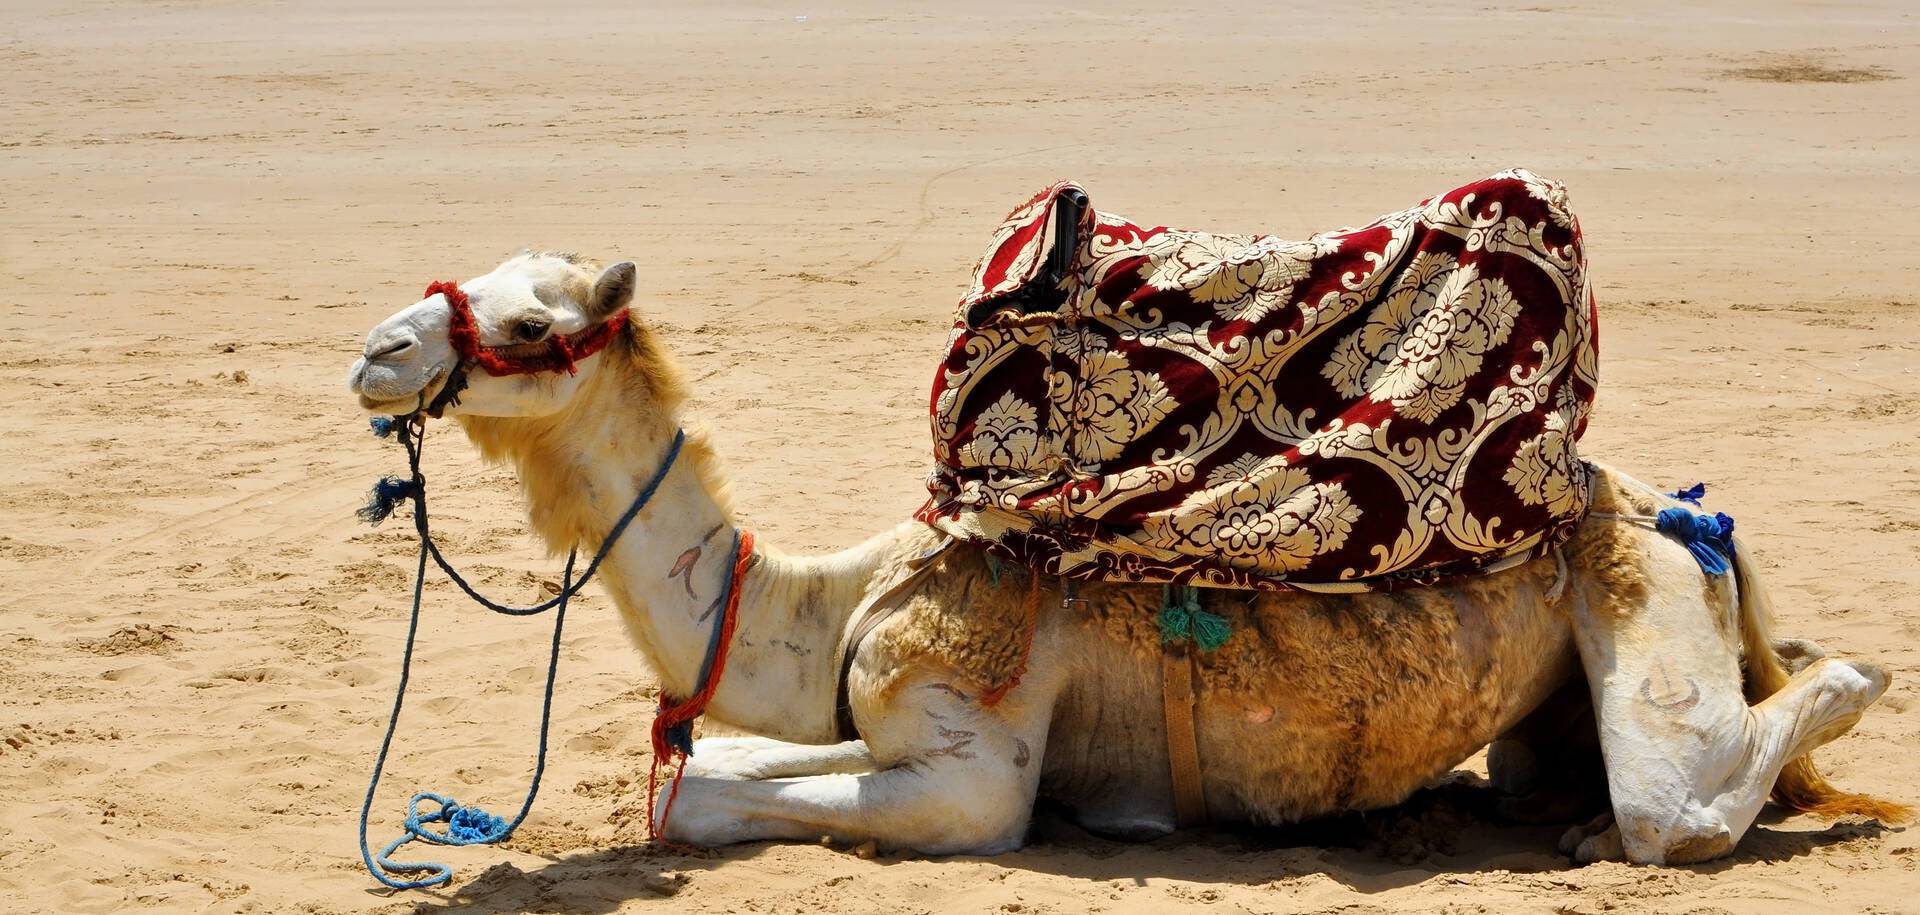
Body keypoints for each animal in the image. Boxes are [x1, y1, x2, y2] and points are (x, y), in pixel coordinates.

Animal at [346, 251, 1905, 865]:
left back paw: (1829, 695)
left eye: (534, 324)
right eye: (472, 274)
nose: (377, 350)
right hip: (1558, 704)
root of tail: (1684, 511)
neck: (833, 597)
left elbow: (695, 800)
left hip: (1648, 601)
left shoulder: (973, 773)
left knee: (1685, 794)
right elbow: (716, 761)